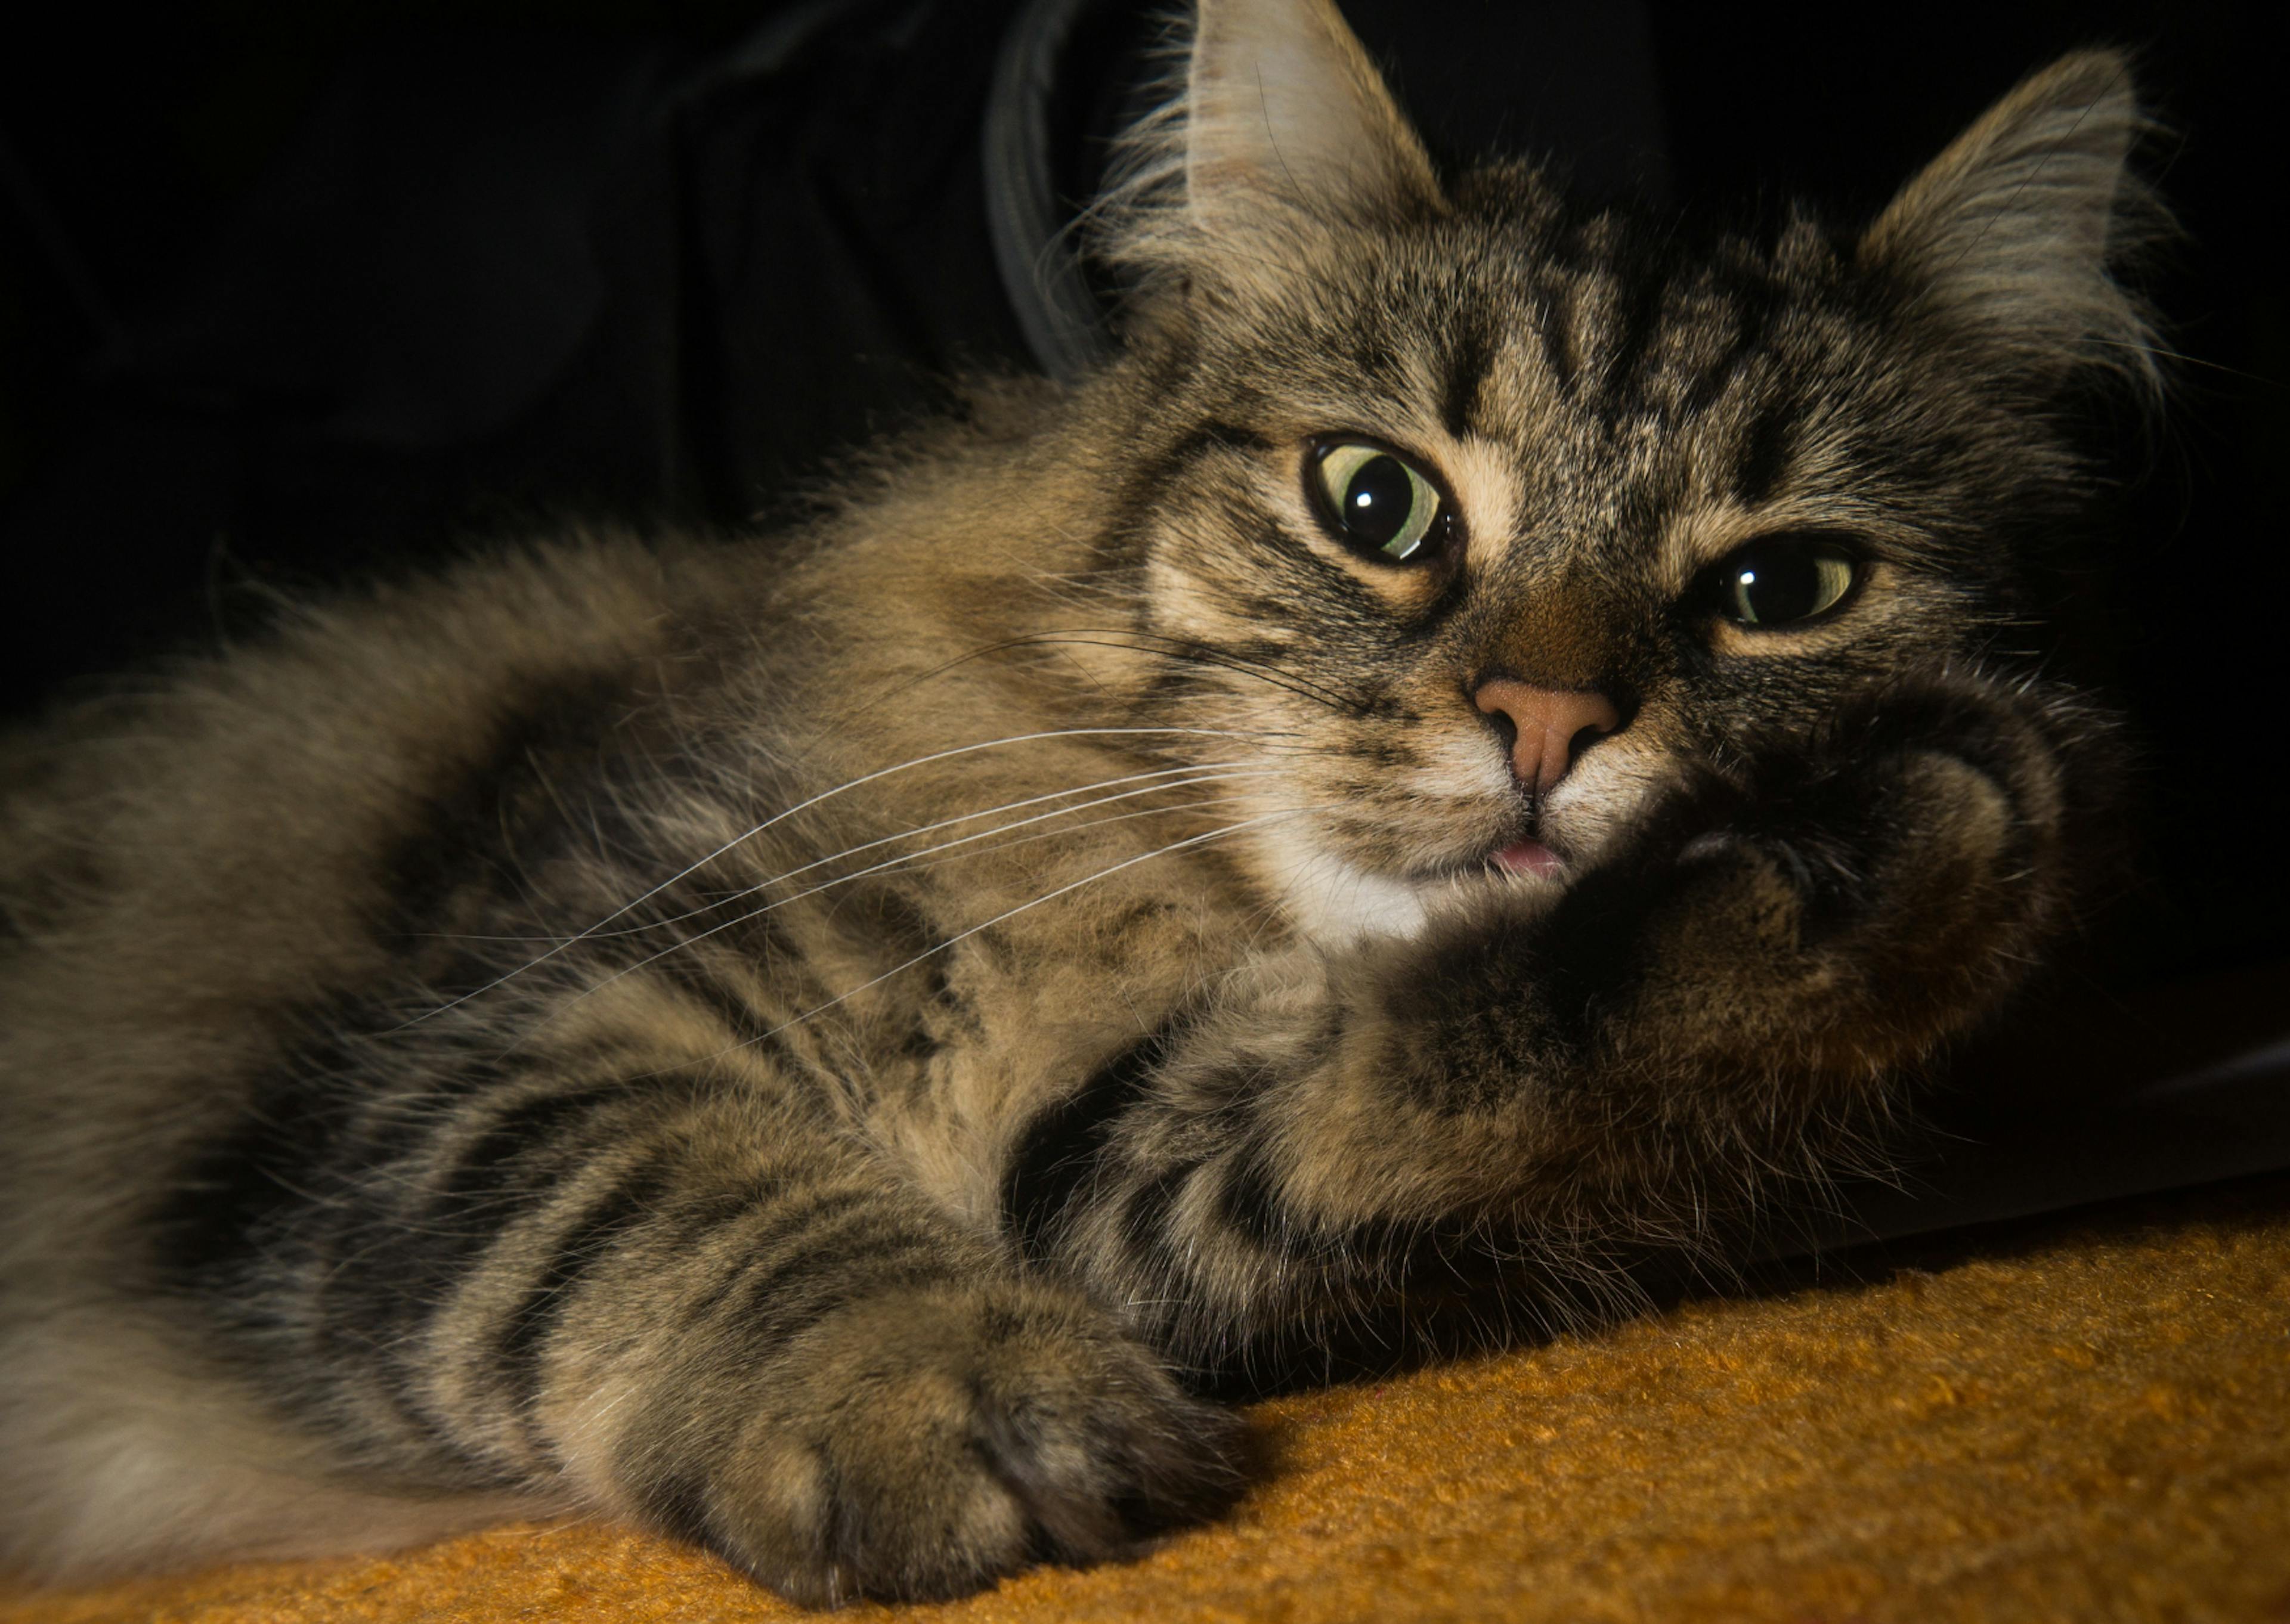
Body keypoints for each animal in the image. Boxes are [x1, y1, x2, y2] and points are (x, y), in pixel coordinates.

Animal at [0, 0, 2152, 1603]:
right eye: (1377, 504)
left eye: (1785, 589)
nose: (1547, 719)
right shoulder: (487, 1052)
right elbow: (710, 1204)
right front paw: (934, 1401)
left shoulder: (1125, 1185)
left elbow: (1448, 1091)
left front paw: (1864, 866)